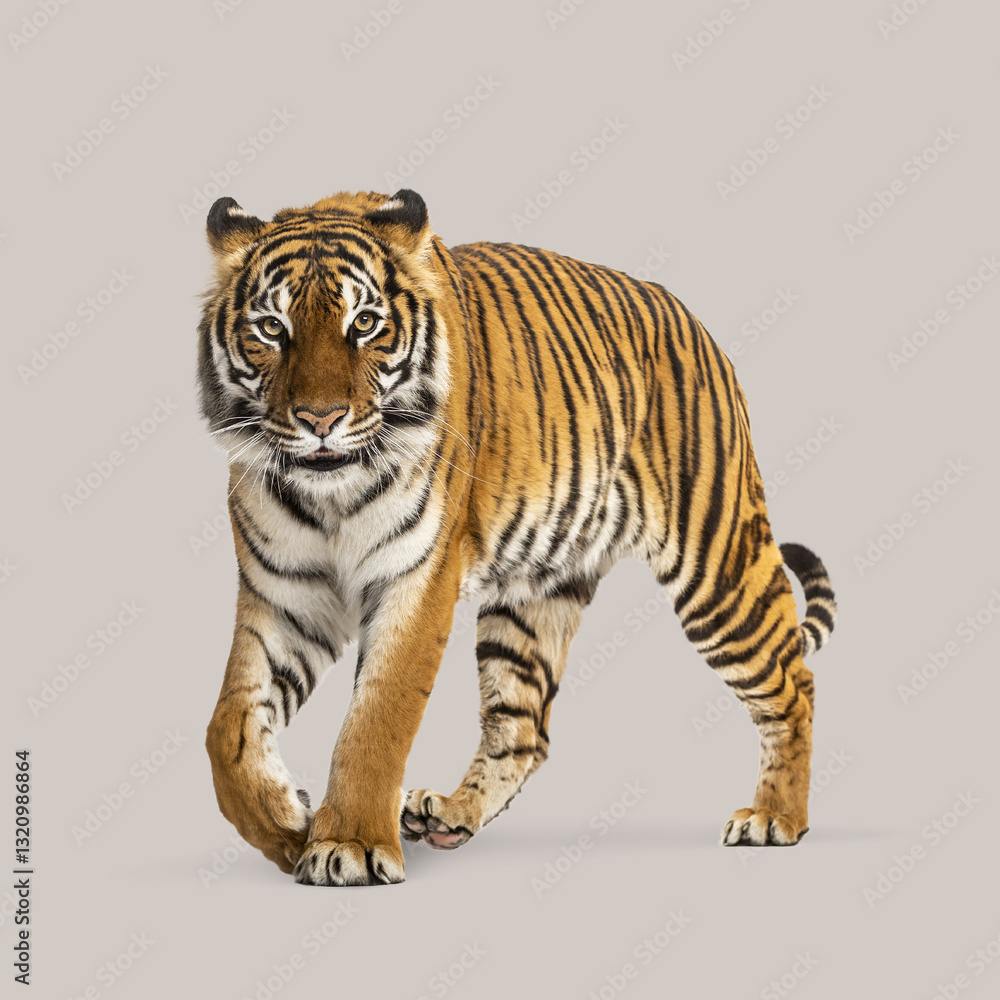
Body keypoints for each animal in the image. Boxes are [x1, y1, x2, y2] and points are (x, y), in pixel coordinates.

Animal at [199, 187, 837, 887]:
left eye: (364, 324)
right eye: (271, 328)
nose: (320, 419)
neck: (328, 496)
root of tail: (687, 315)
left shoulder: (416, 583)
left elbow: (376, 720)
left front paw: (350, 846)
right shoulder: (287, 595)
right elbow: (227, 727)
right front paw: (287, 823)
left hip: (716, 566)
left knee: (794, 681)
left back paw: (776, 818)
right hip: (535, 596)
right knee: (525, 730)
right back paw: (448, 816)